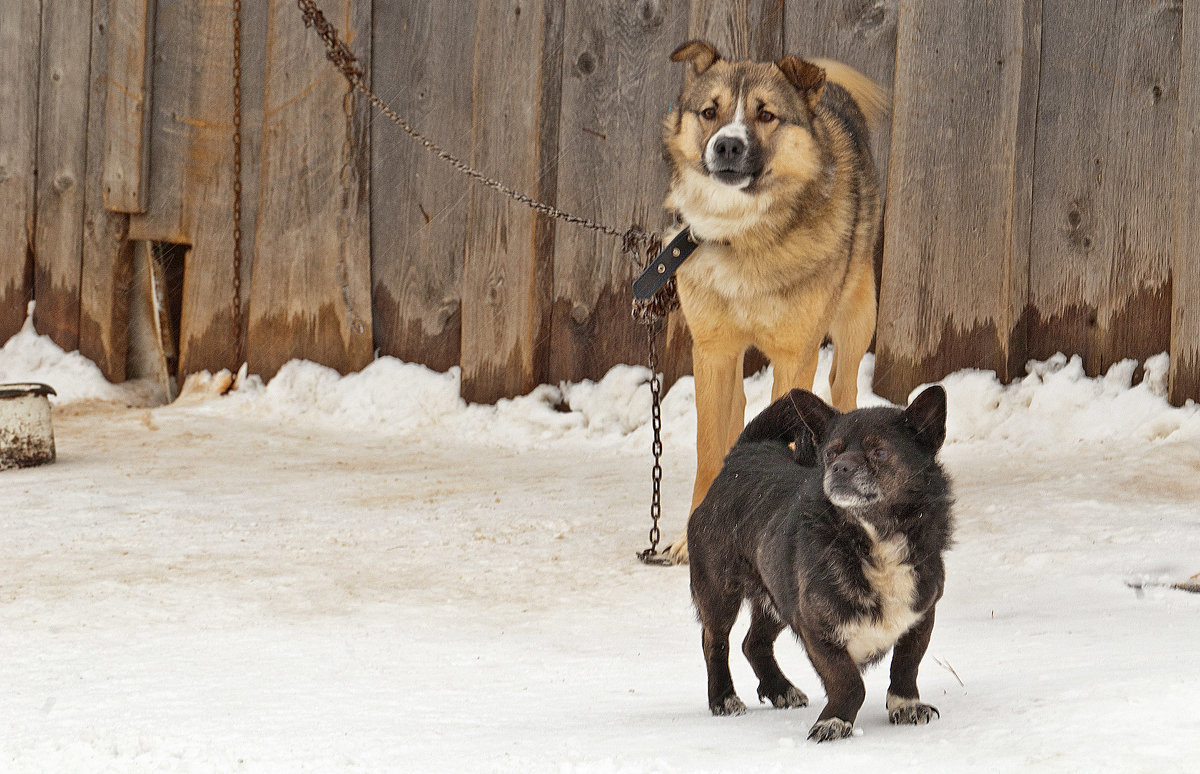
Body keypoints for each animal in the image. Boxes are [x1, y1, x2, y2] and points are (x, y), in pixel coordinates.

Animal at [662, 40, 888, 561]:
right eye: (710, 112)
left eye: (766, 115)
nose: (727, 145)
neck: (743, 235)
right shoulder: (712, 350)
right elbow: (709, 447)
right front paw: (692, 535)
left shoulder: (795, 354)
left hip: (856, 317)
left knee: (843, 385)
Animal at [686, 388, 955, 739]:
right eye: (830, 453)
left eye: (880, 452)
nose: (839, 467)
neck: (873, 539)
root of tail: (742, 454)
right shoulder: (817, 628)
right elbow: (848, 681)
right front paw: (835, 721)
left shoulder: (920, 617)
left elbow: (906, 666)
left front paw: (906, 705)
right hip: (720, 592)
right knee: (715, 642)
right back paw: (723, 698)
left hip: (777, 594)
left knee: (753, 643)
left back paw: (780, 689)